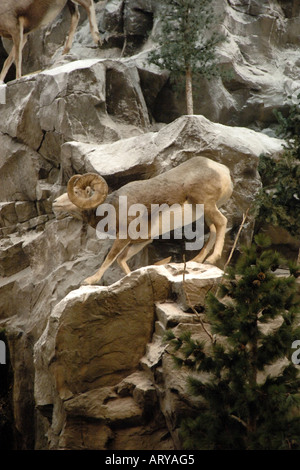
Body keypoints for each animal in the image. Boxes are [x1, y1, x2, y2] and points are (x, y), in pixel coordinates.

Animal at [52, 157, 233, 286]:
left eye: (76, 191)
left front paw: (90, 280)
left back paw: (211, 259)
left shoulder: (123, 237)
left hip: (206, 204)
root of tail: (222, 170)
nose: (54, 203)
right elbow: (121, 260)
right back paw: (196, 260)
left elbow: (110, 258)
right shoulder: (140, 241)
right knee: (214, 230)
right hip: (206, 212)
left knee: (222, 222)